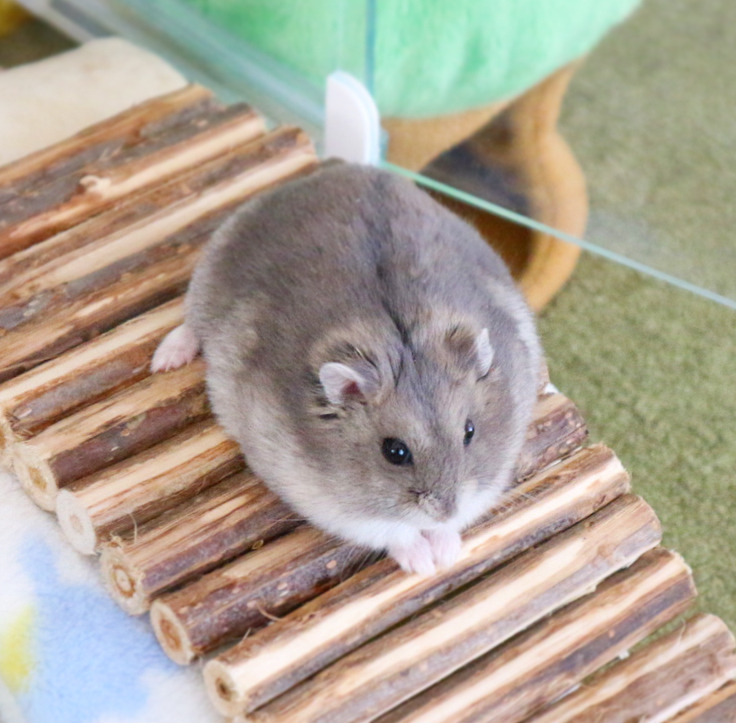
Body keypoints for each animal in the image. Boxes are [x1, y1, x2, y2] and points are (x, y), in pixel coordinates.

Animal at [152, 163, 541, 575]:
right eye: (394, 452)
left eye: (470, 431)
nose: (445, 510)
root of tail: (342, 169)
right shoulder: (328, 502)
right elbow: (391, 530)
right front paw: (423, 564)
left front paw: (447, 551)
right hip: (204, 283)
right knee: (188, 327)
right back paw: (162, 362)